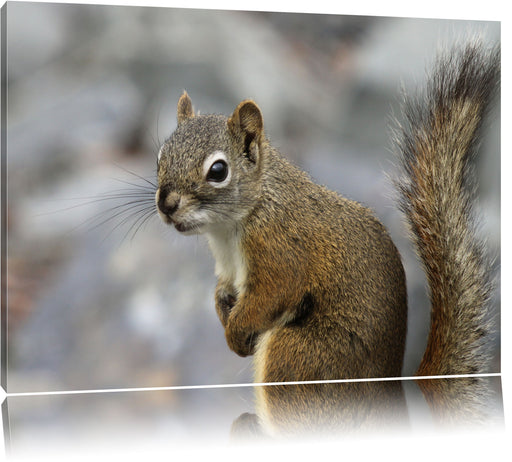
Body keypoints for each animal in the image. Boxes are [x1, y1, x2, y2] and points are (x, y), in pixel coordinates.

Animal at [155, 41, 500, 394]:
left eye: (218, 170)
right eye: (159, 157)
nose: (166, 204)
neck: (231, 227)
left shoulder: (280, 250)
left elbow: (272, 294)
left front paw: (236, 334)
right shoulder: (227, 267)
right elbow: (222, 292)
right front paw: (224, 312)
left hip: (300, 356)